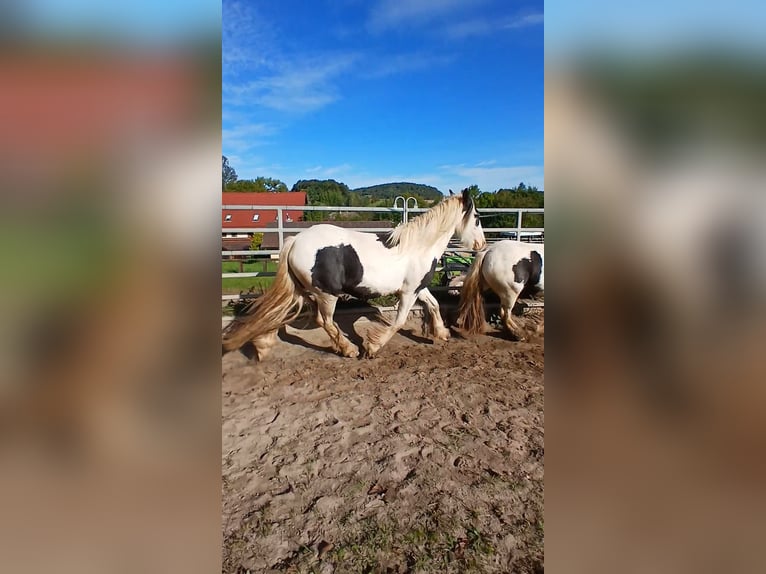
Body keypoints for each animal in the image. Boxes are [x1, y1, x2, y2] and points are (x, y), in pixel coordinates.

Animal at [224, 189, 486, 360]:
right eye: (476, 218)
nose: (481, 244)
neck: (418, 246)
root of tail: (296, 240)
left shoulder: (417, 288)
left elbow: (434, 305)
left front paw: (442, 334)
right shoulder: (409, 292)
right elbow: (399, 321)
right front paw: (372, 348)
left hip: (302, 290)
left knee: (279, 312)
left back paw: (262, 347)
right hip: (327, 294)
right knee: (324, 321)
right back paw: (348, 349)